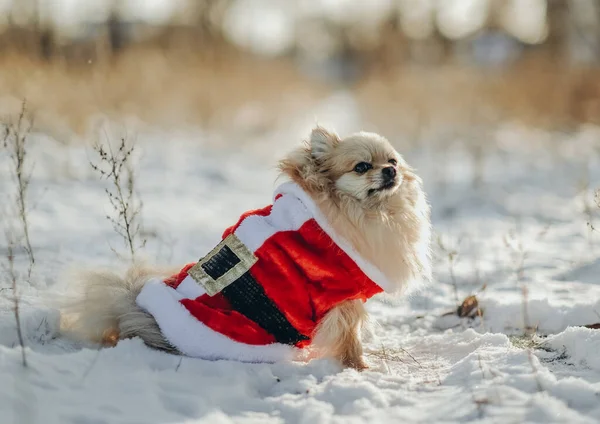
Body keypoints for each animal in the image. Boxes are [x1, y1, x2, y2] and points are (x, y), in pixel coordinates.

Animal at [61, 124, 428, 370]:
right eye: (362, 167)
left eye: (393, 160)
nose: (390, 170)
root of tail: (142, 315)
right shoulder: (340, 299)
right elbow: (351, 340)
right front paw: (359, 368)